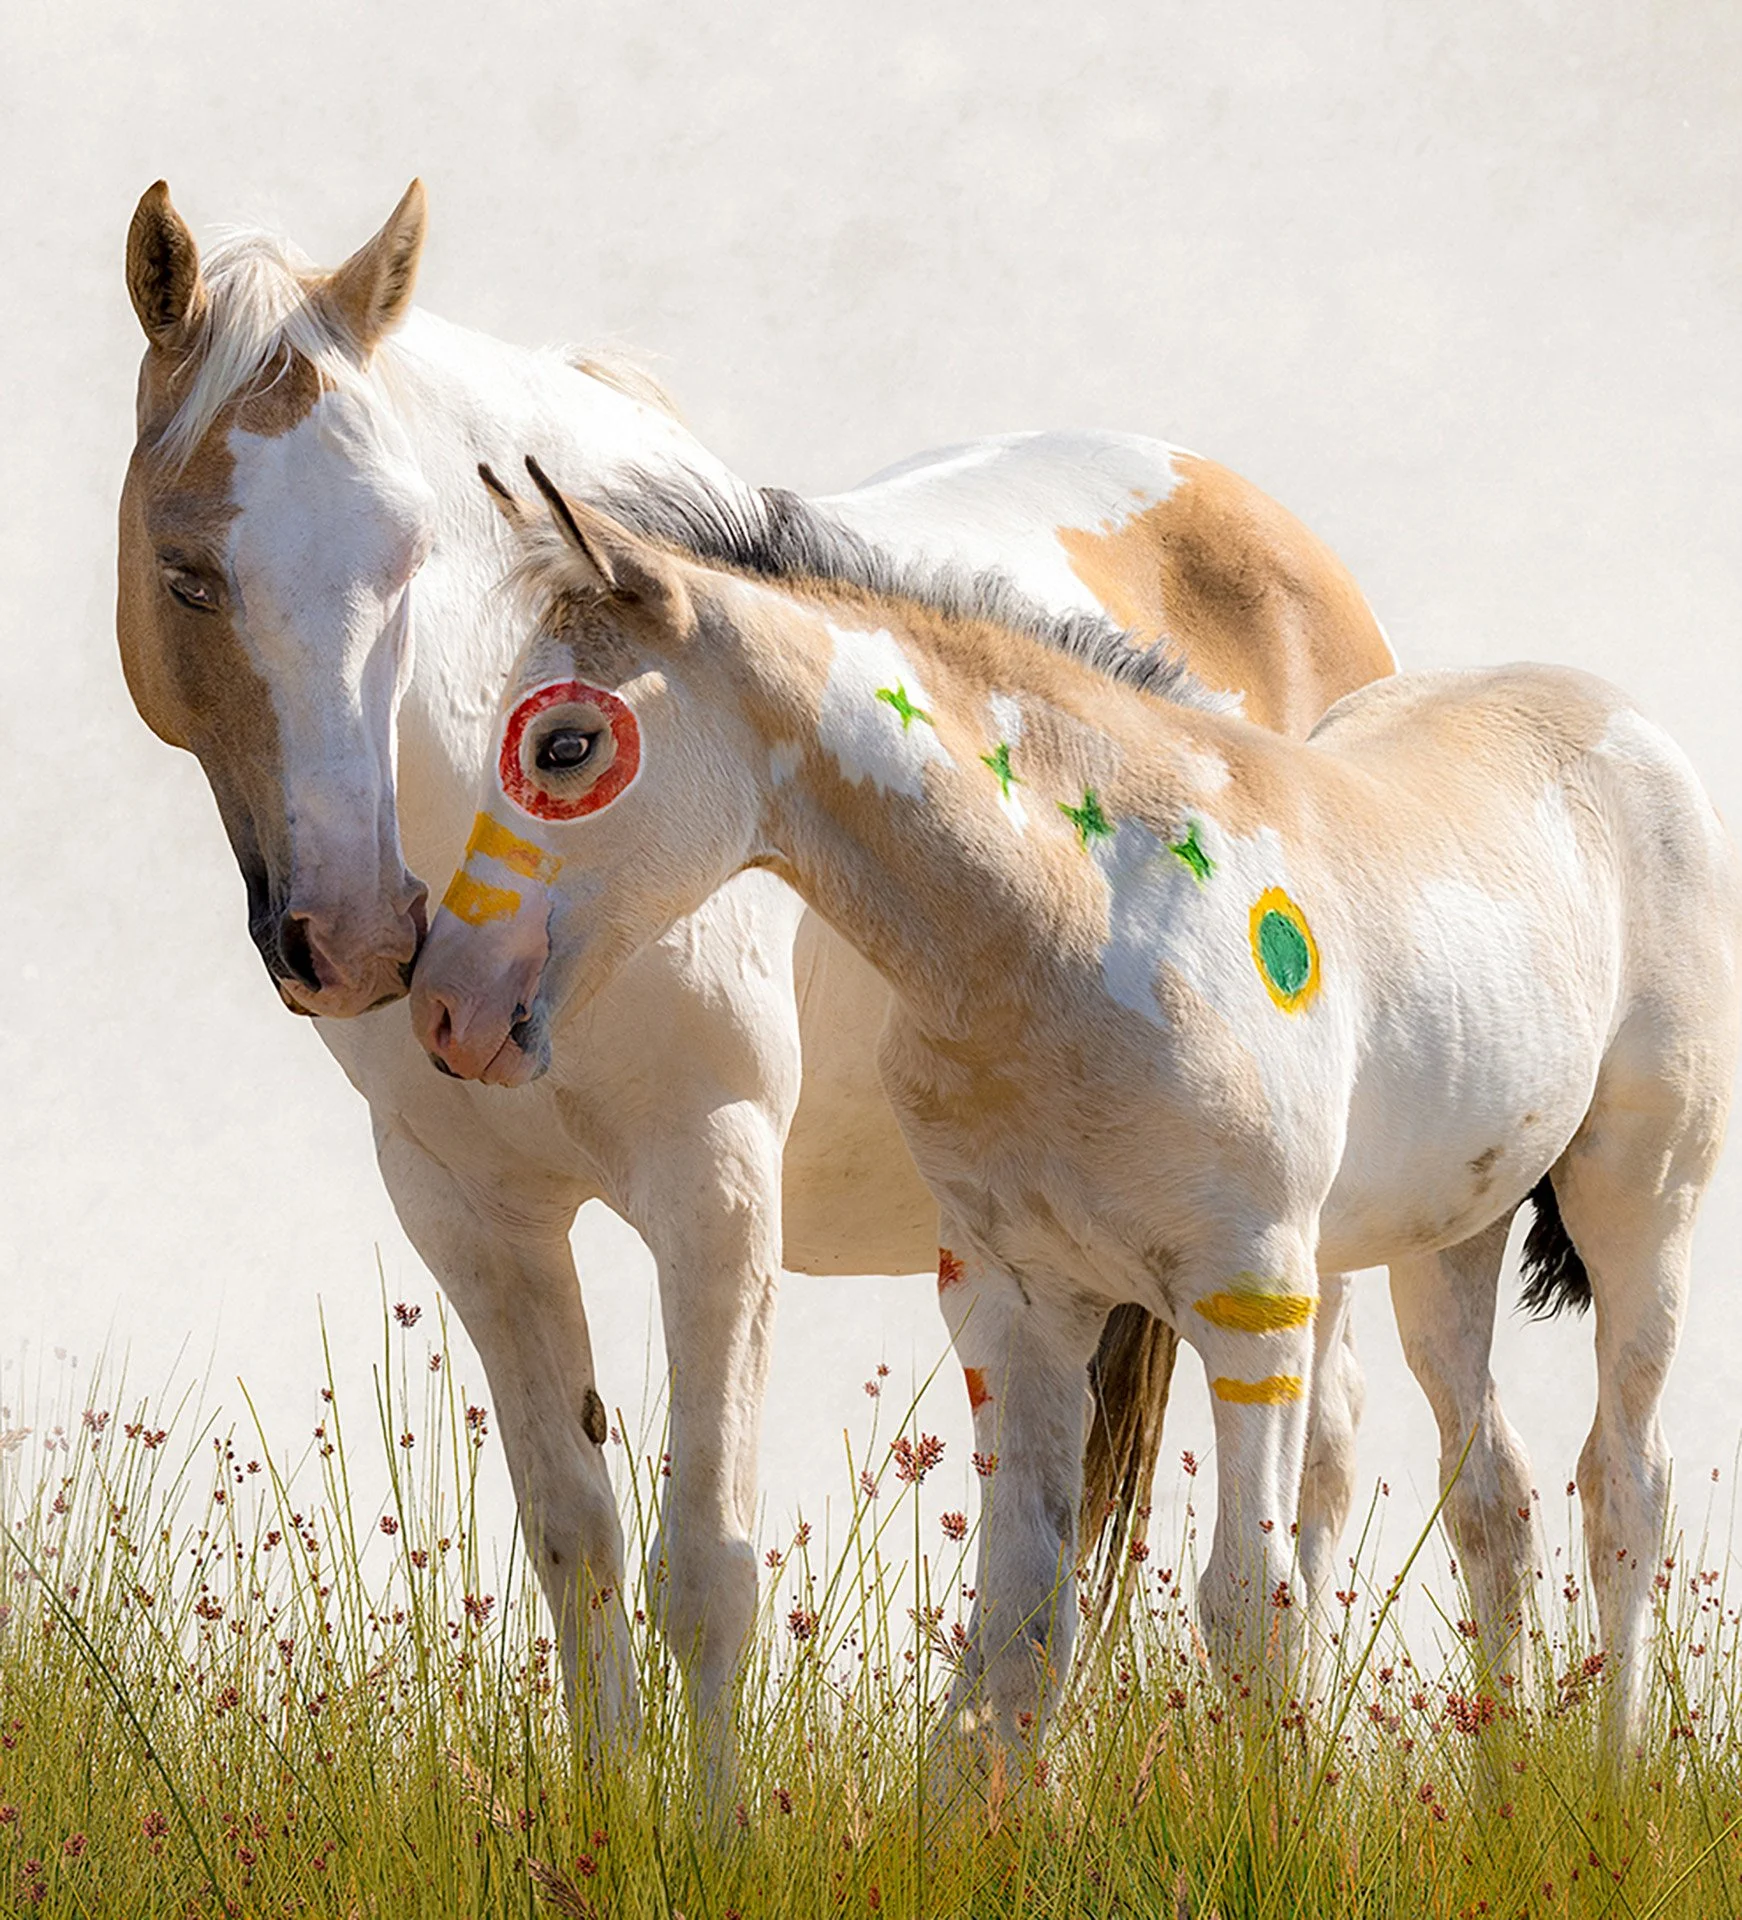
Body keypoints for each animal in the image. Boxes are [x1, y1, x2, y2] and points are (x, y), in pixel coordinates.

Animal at [118, 179, 1397, 1752]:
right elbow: (576, 1553)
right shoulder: (470, 1214)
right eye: (187, 571)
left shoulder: (717, 1185)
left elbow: (709, 1570)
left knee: (1320, 1477)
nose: (359, 936)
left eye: (407, 554)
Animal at [411, 462, 1740, 1767]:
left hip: (1638, 1195)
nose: (446, 1007)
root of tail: (1609, 711)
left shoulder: (1250, 1293)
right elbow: (1017, 1627)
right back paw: (1507, 1794)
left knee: (1624, 1480)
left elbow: (1248, 1605)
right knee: (1493, 1500)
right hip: (1444, 1234)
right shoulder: (1016, 1303)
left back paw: (1614, 1781)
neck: (1074, 930)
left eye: (568, 743)